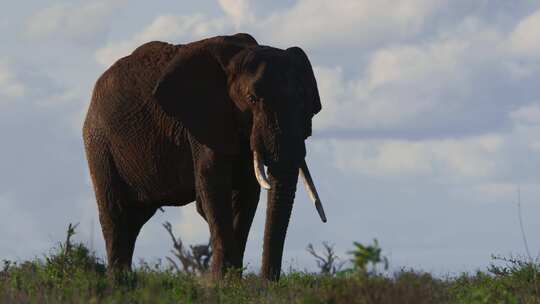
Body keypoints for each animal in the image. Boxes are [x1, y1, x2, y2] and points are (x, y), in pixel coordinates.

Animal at [80, 32, 324, 280]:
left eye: (303, 102)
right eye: (252, 99)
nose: (267, 282)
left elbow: (246, 191)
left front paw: (232, 279)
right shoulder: (203, 119)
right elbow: (213, 184)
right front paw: (222, 280)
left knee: (134, 219)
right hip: (99, 143)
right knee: (116, 214)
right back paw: (119, 280)